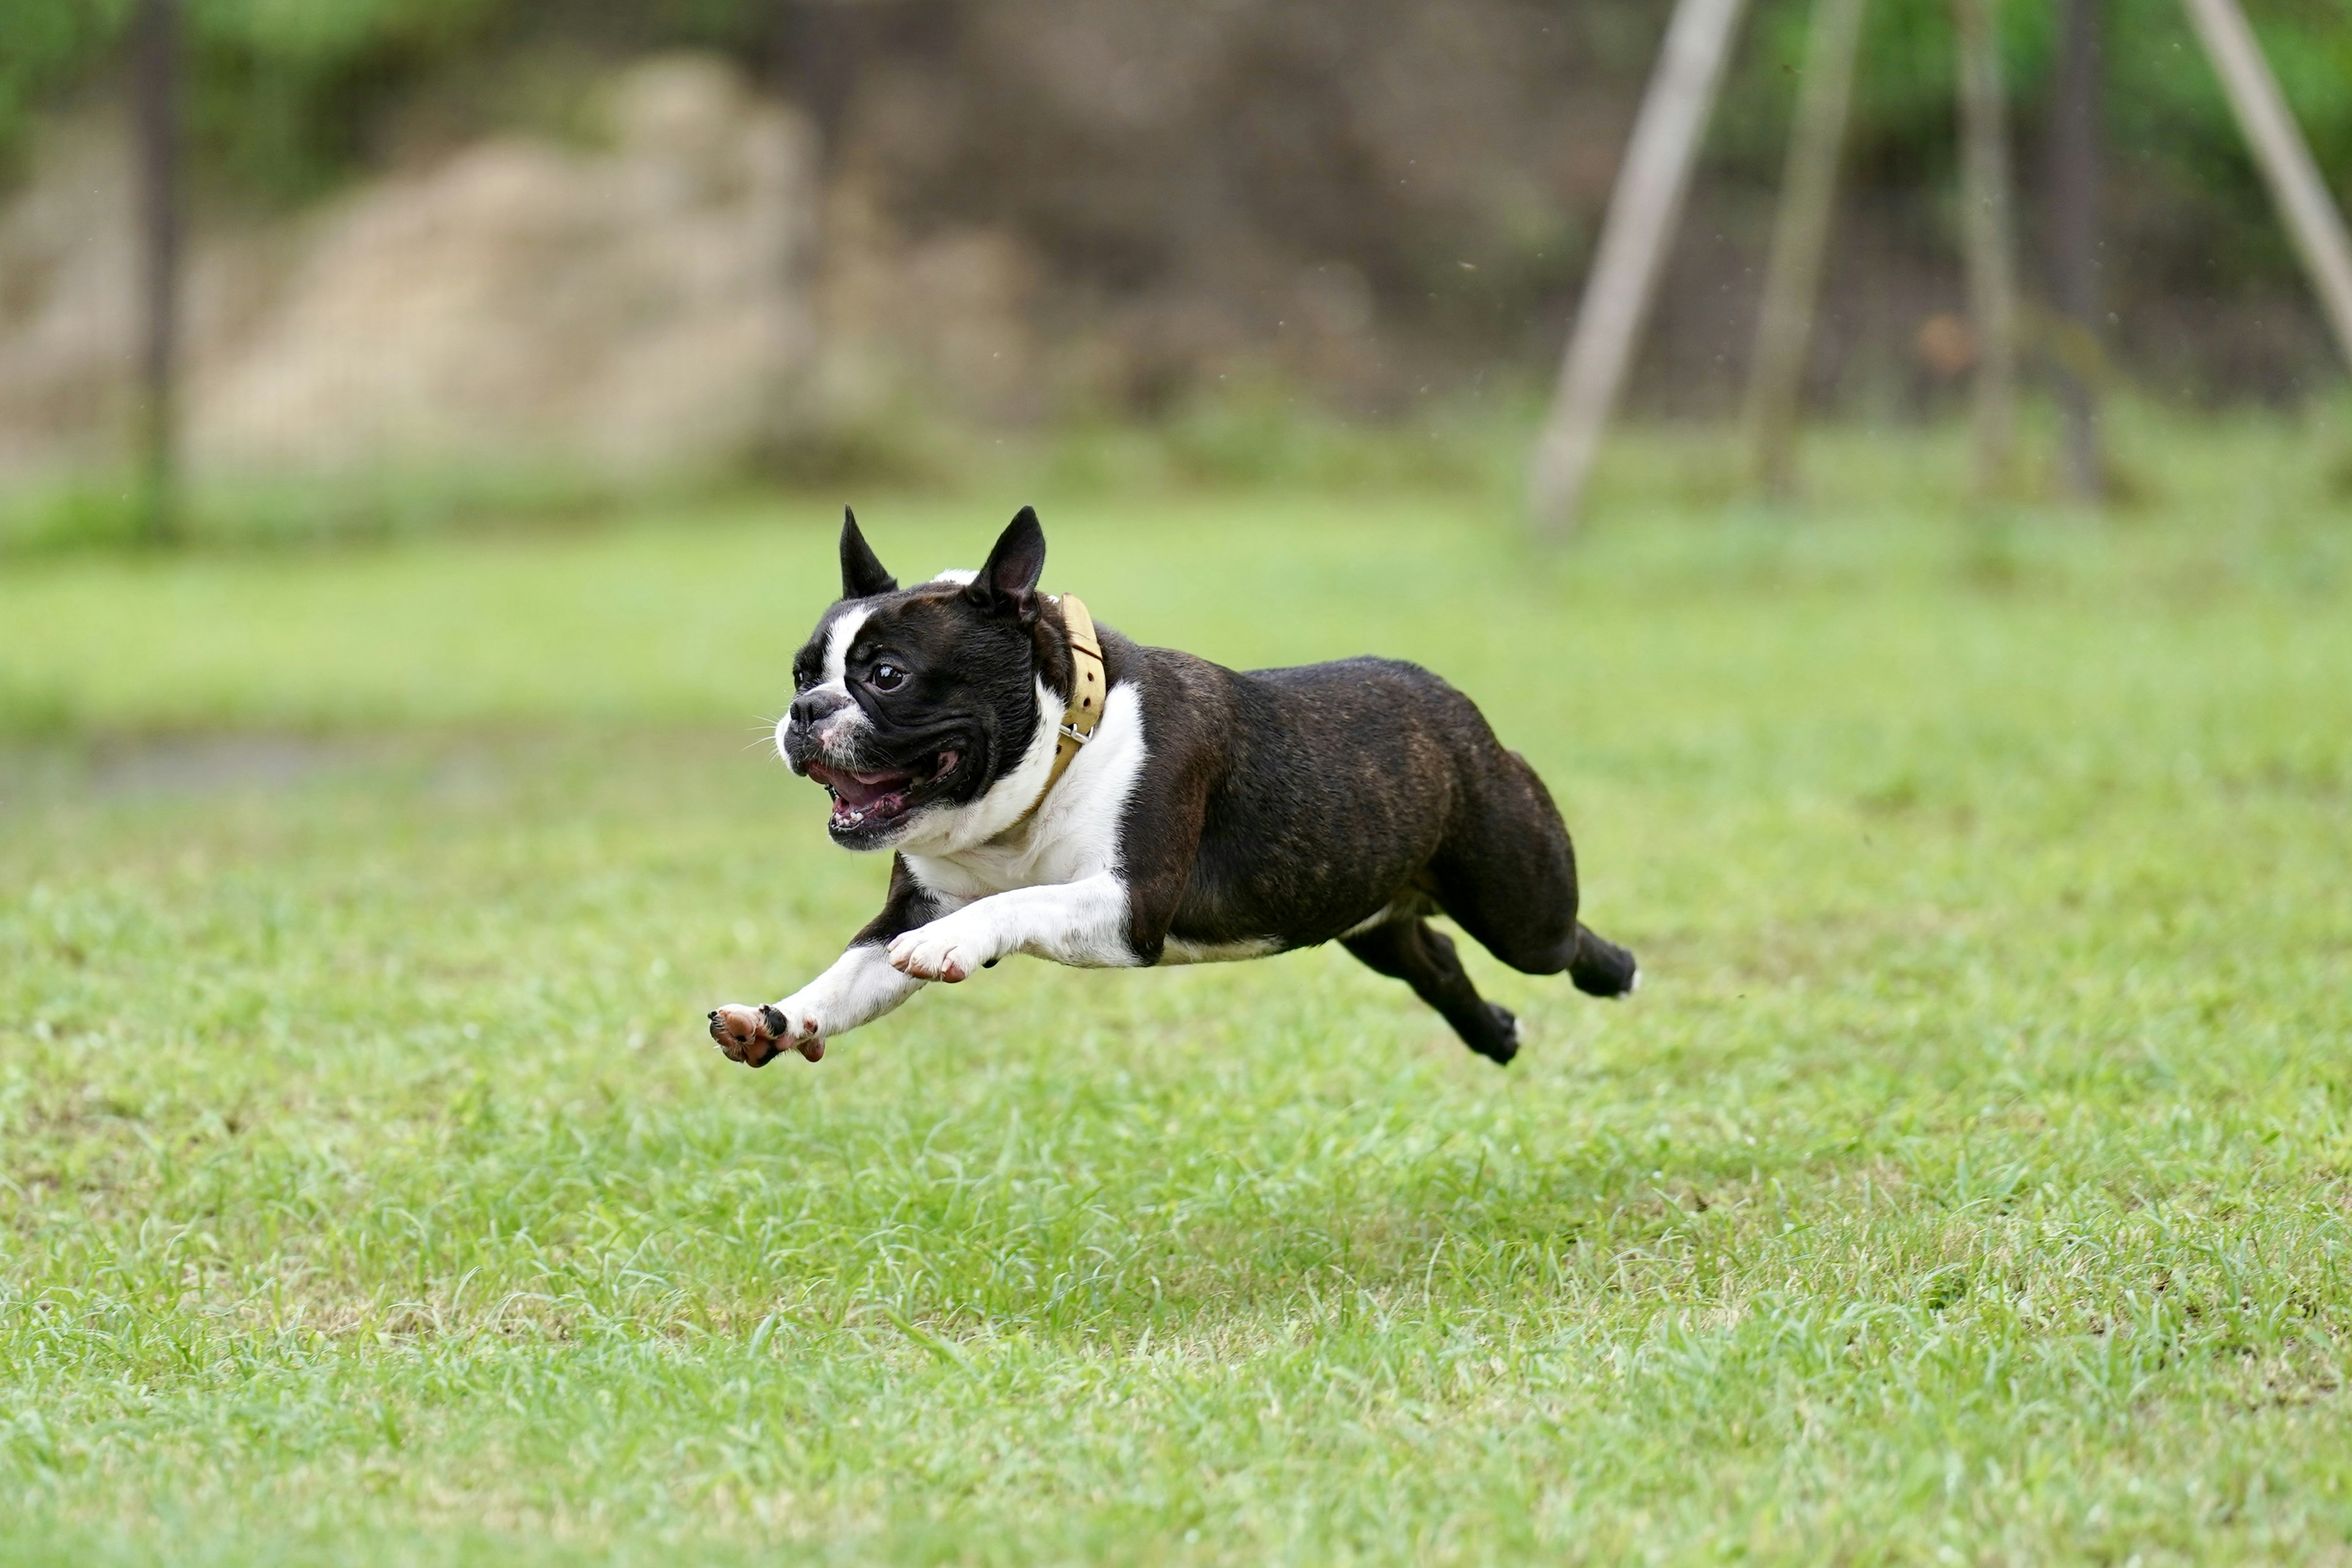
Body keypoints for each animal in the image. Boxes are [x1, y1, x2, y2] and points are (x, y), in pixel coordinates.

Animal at [706, 510, 1637, 1072]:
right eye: (802, 674)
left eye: (887, 677)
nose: (804, 712)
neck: (1046, 766)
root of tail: (1452, 704)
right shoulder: (909, 907)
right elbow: (846, 977)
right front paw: (777, 1018)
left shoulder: (1131, 905)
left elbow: (1017, 903)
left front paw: (957, 941)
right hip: (1362, 910)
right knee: (1433, 957)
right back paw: (1496, 1034)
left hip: (1518, 901)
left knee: (1559, 941)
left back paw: (1616, 974)